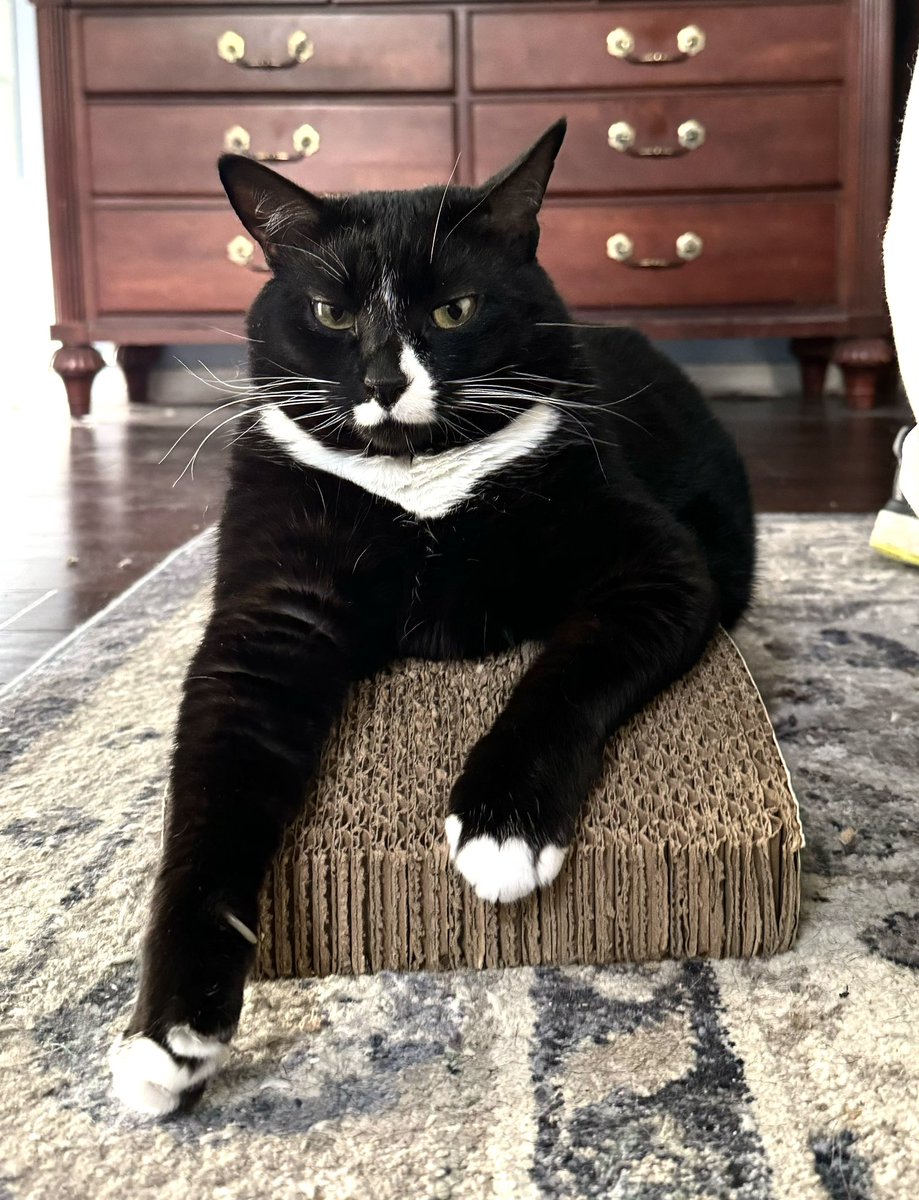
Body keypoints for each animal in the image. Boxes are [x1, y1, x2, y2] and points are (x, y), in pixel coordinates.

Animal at [109, 119, 758, 1113]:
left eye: (454, 311)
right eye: (332, 314)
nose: (384, 378)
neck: (416, 477)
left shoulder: (654, 567)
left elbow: (560, 676)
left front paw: (501, 824)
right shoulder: (270, 617)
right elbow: (209, 800)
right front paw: (165, 1029)